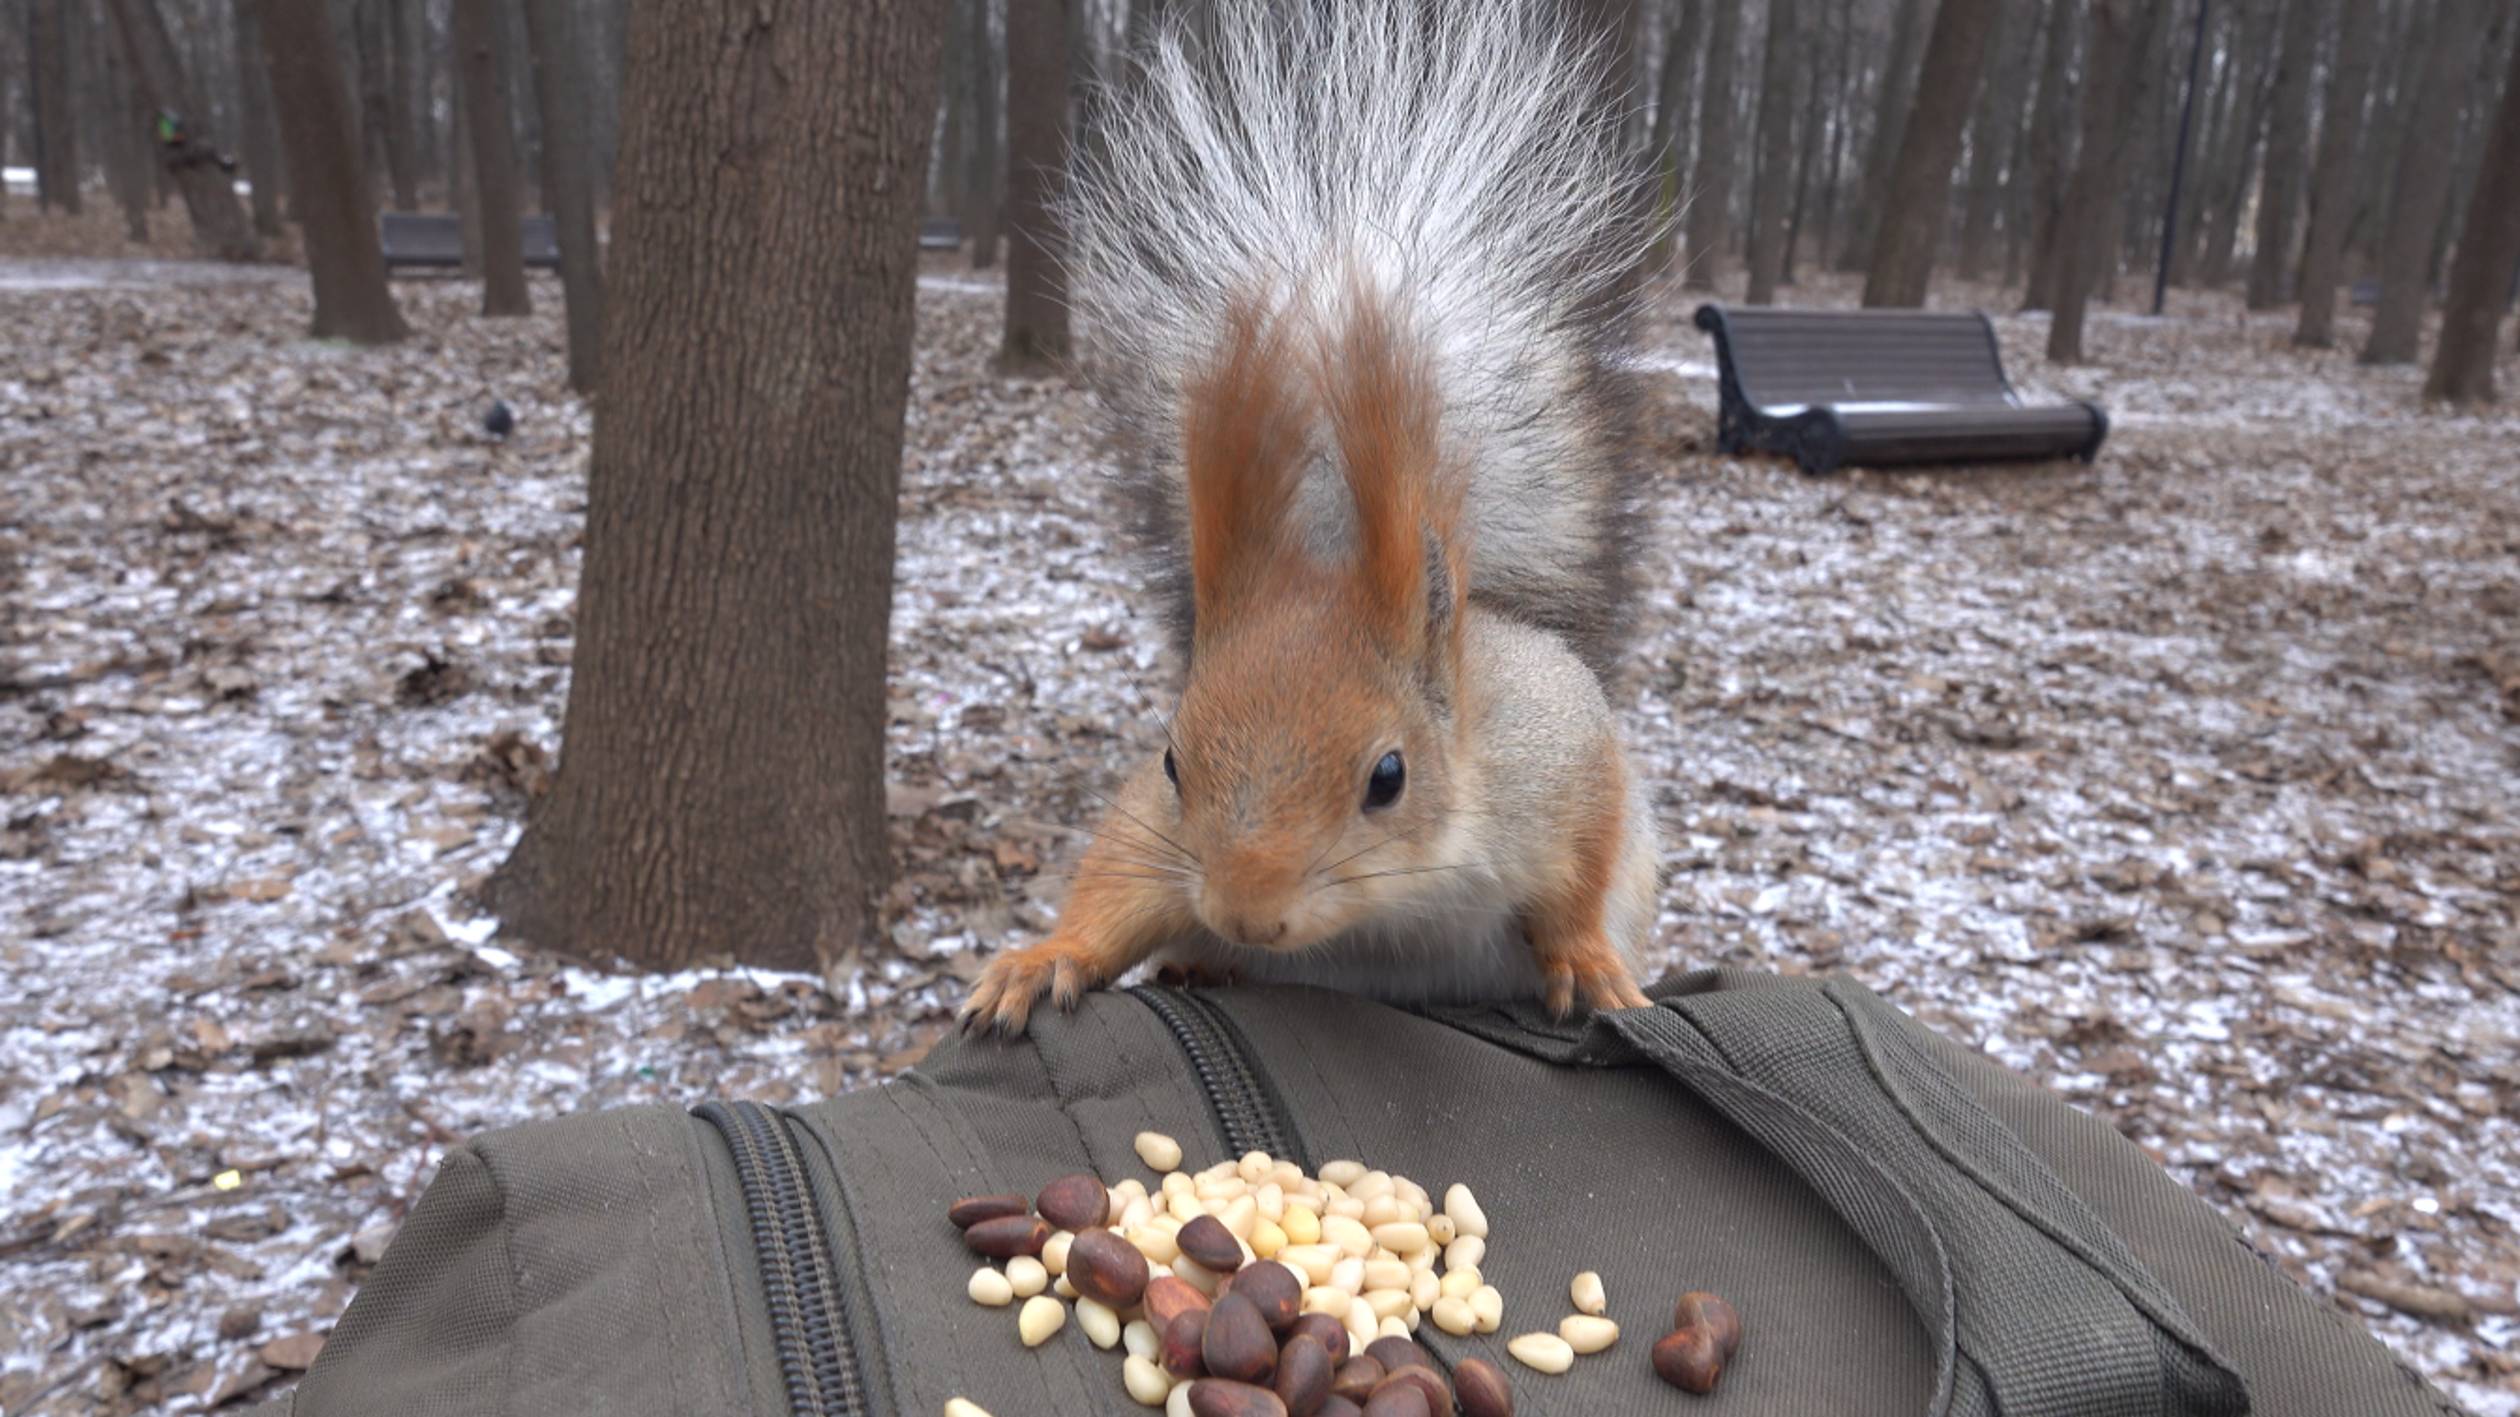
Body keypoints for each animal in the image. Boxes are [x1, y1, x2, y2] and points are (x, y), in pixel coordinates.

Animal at [963, 0, 1662, 1034]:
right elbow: (1115, 882)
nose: (1246, 914)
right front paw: (1045, 959)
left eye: (1389, 777)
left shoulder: (1562, 755)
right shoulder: (1156, 828)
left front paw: (1587, 959)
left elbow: (1583, 866)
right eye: (1172, 763)